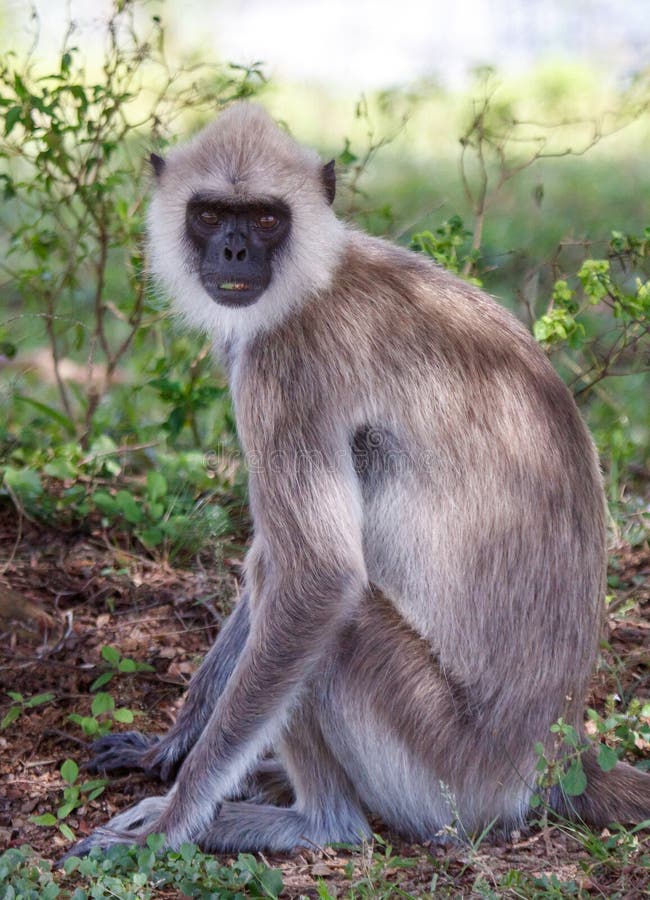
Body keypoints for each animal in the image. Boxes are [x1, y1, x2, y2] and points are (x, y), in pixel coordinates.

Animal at [74, 102, 650, 856]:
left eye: (265, 218)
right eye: (210, 214)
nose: (234, 253)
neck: (319, 278)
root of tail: (556, 758)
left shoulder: (285, 365)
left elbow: (316, 576)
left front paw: (170, 826)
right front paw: (168, 748)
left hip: (444, 769)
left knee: (319, 612)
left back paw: (310, 819)